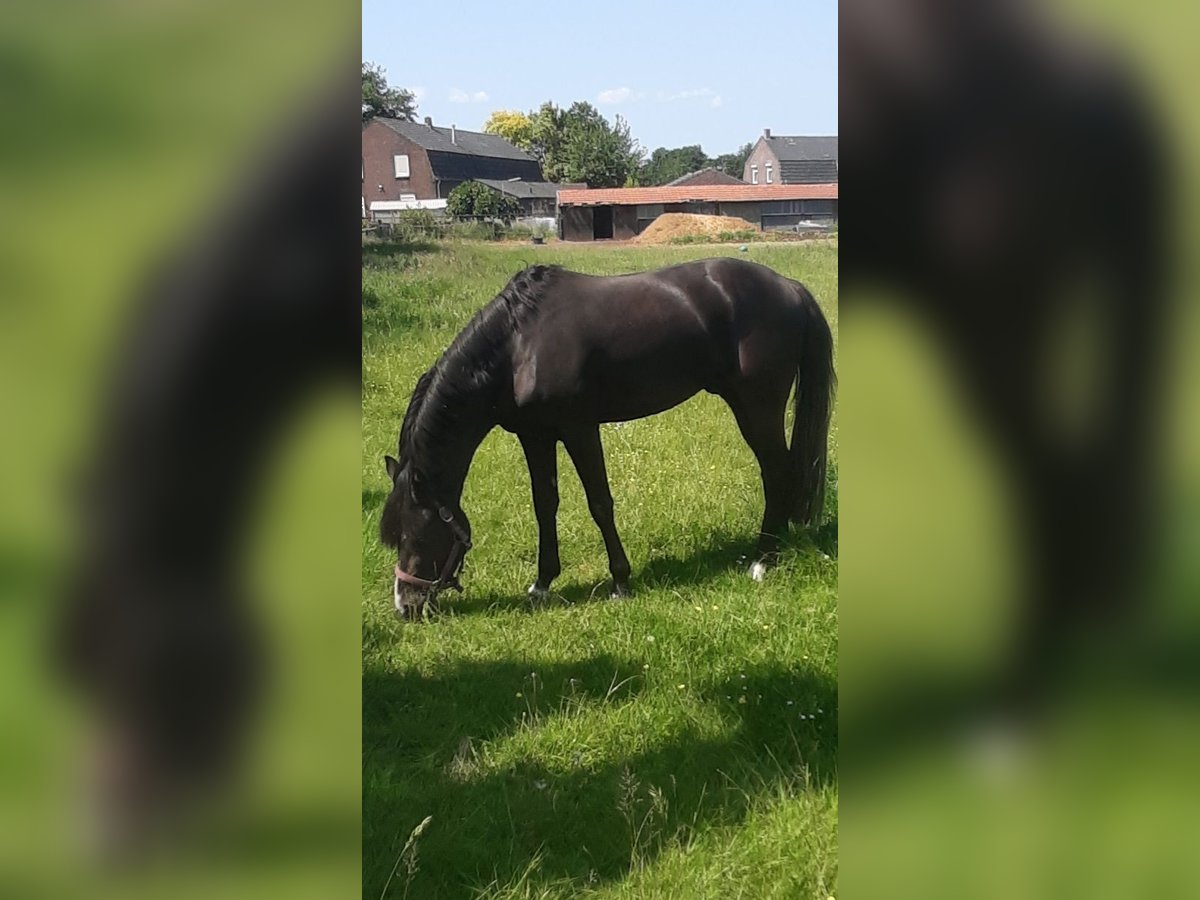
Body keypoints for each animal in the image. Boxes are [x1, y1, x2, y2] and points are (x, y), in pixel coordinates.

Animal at [381, 256, 835, 619]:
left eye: (414, 533)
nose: (405, 606)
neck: (519, 345)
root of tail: (789, 286)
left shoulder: (580, 428)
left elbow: (599, 503)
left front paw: (620, 582)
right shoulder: (535, 435)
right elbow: (544, 505)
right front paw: (542, 584)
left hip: (757, 408)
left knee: (777, 472)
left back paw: (763, 560)